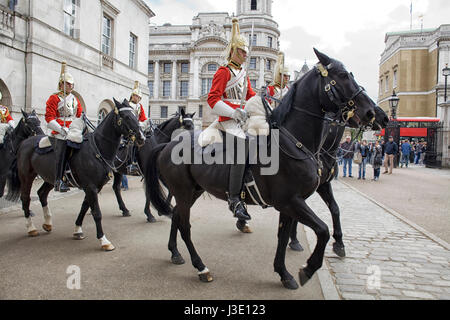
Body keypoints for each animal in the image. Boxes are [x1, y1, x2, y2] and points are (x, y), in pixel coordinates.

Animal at [6, 99, 144, 251]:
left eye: (136, 116)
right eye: (126, 117)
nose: (141, 137)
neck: (97, 148)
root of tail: (24, 143)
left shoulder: (94, 187)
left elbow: (84, 207)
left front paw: (78, 230)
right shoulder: (91, 187)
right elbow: (96, 213)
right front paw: (103, 240)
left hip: (50, 178)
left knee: (42, 193)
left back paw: (47, 223)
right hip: (26, 177)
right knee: (26, 198)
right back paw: (31, 228)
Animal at [146, 48, 378, 288]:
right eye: (342, 75)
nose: (372, 113)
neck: (291, 143)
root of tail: (169, 144)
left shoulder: (290, 204)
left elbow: (284, 236)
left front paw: (284, 273)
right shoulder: (291, 201)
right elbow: (322, 230)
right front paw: (307, 268)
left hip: (193, 191)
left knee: (176, 216)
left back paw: (175, 253)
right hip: (183, 192)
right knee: (185, 225)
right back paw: (201, 267)